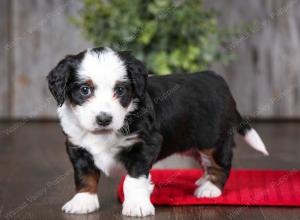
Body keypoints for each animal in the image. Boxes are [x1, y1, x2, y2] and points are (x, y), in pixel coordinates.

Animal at [47, 46, 270, 217]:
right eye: (84, 90)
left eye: (120, 90)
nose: (104, 119)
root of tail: (218, 80)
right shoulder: (78, 146)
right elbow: (84, 175)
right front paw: (83, 201)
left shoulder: (145, 143)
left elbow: (133, 179)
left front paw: (136, 205)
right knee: (204, 160)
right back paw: (203, 180)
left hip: (213, 139)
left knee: (220, 164)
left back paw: (210, 188)